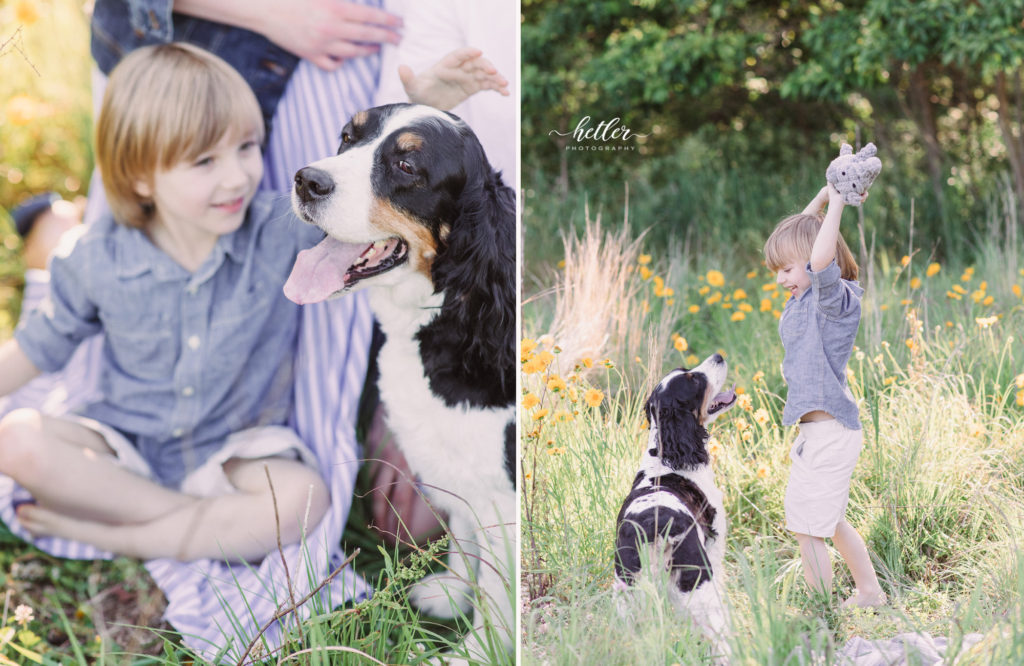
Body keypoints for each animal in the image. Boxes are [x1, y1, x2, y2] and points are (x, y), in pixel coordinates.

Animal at [284, 102, 516, 659]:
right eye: (347, 137)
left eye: (408, 167)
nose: (306, 180)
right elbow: (465, 536)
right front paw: (452, 592)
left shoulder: (503, 495)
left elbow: (498, 591)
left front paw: (474, 654)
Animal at [614, 354, 737, 655]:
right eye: (694, 380)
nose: (718, 356)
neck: (666, 455)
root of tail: (652, 525)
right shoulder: (715, 547)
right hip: (698, 583)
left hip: (627, 593)